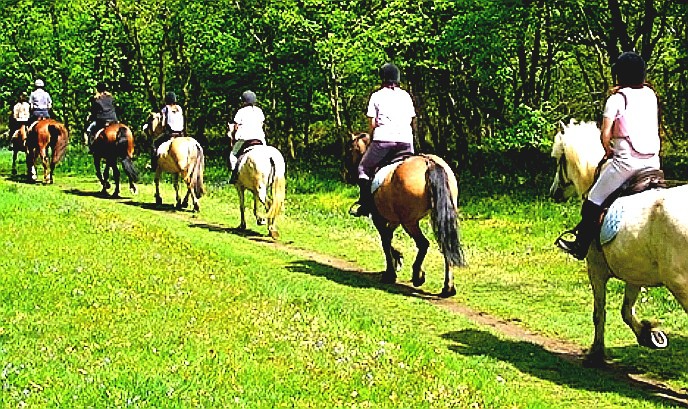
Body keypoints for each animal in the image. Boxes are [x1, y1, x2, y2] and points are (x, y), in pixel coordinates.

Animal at [346, 133, 464, 296]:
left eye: (350, 149)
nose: (347, 175)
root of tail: (429, 162)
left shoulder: (378, 217)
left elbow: (385, 240)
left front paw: (391, 272)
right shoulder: (394, 219)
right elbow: (388, 236)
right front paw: (398, 258)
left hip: (410, 222)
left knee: (423, 244)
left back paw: (417, 276)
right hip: (440, 217)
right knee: (446, 245)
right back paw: (448, 288)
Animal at [552, 119, 688, 364]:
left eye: (559, 159)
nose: (553, 192)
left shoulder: (595, 269)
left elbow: (599, 313)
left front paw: (596, 353)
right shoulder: (635, 272)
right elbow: (626, 311)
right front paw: (649, 335)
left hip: (680, 283)